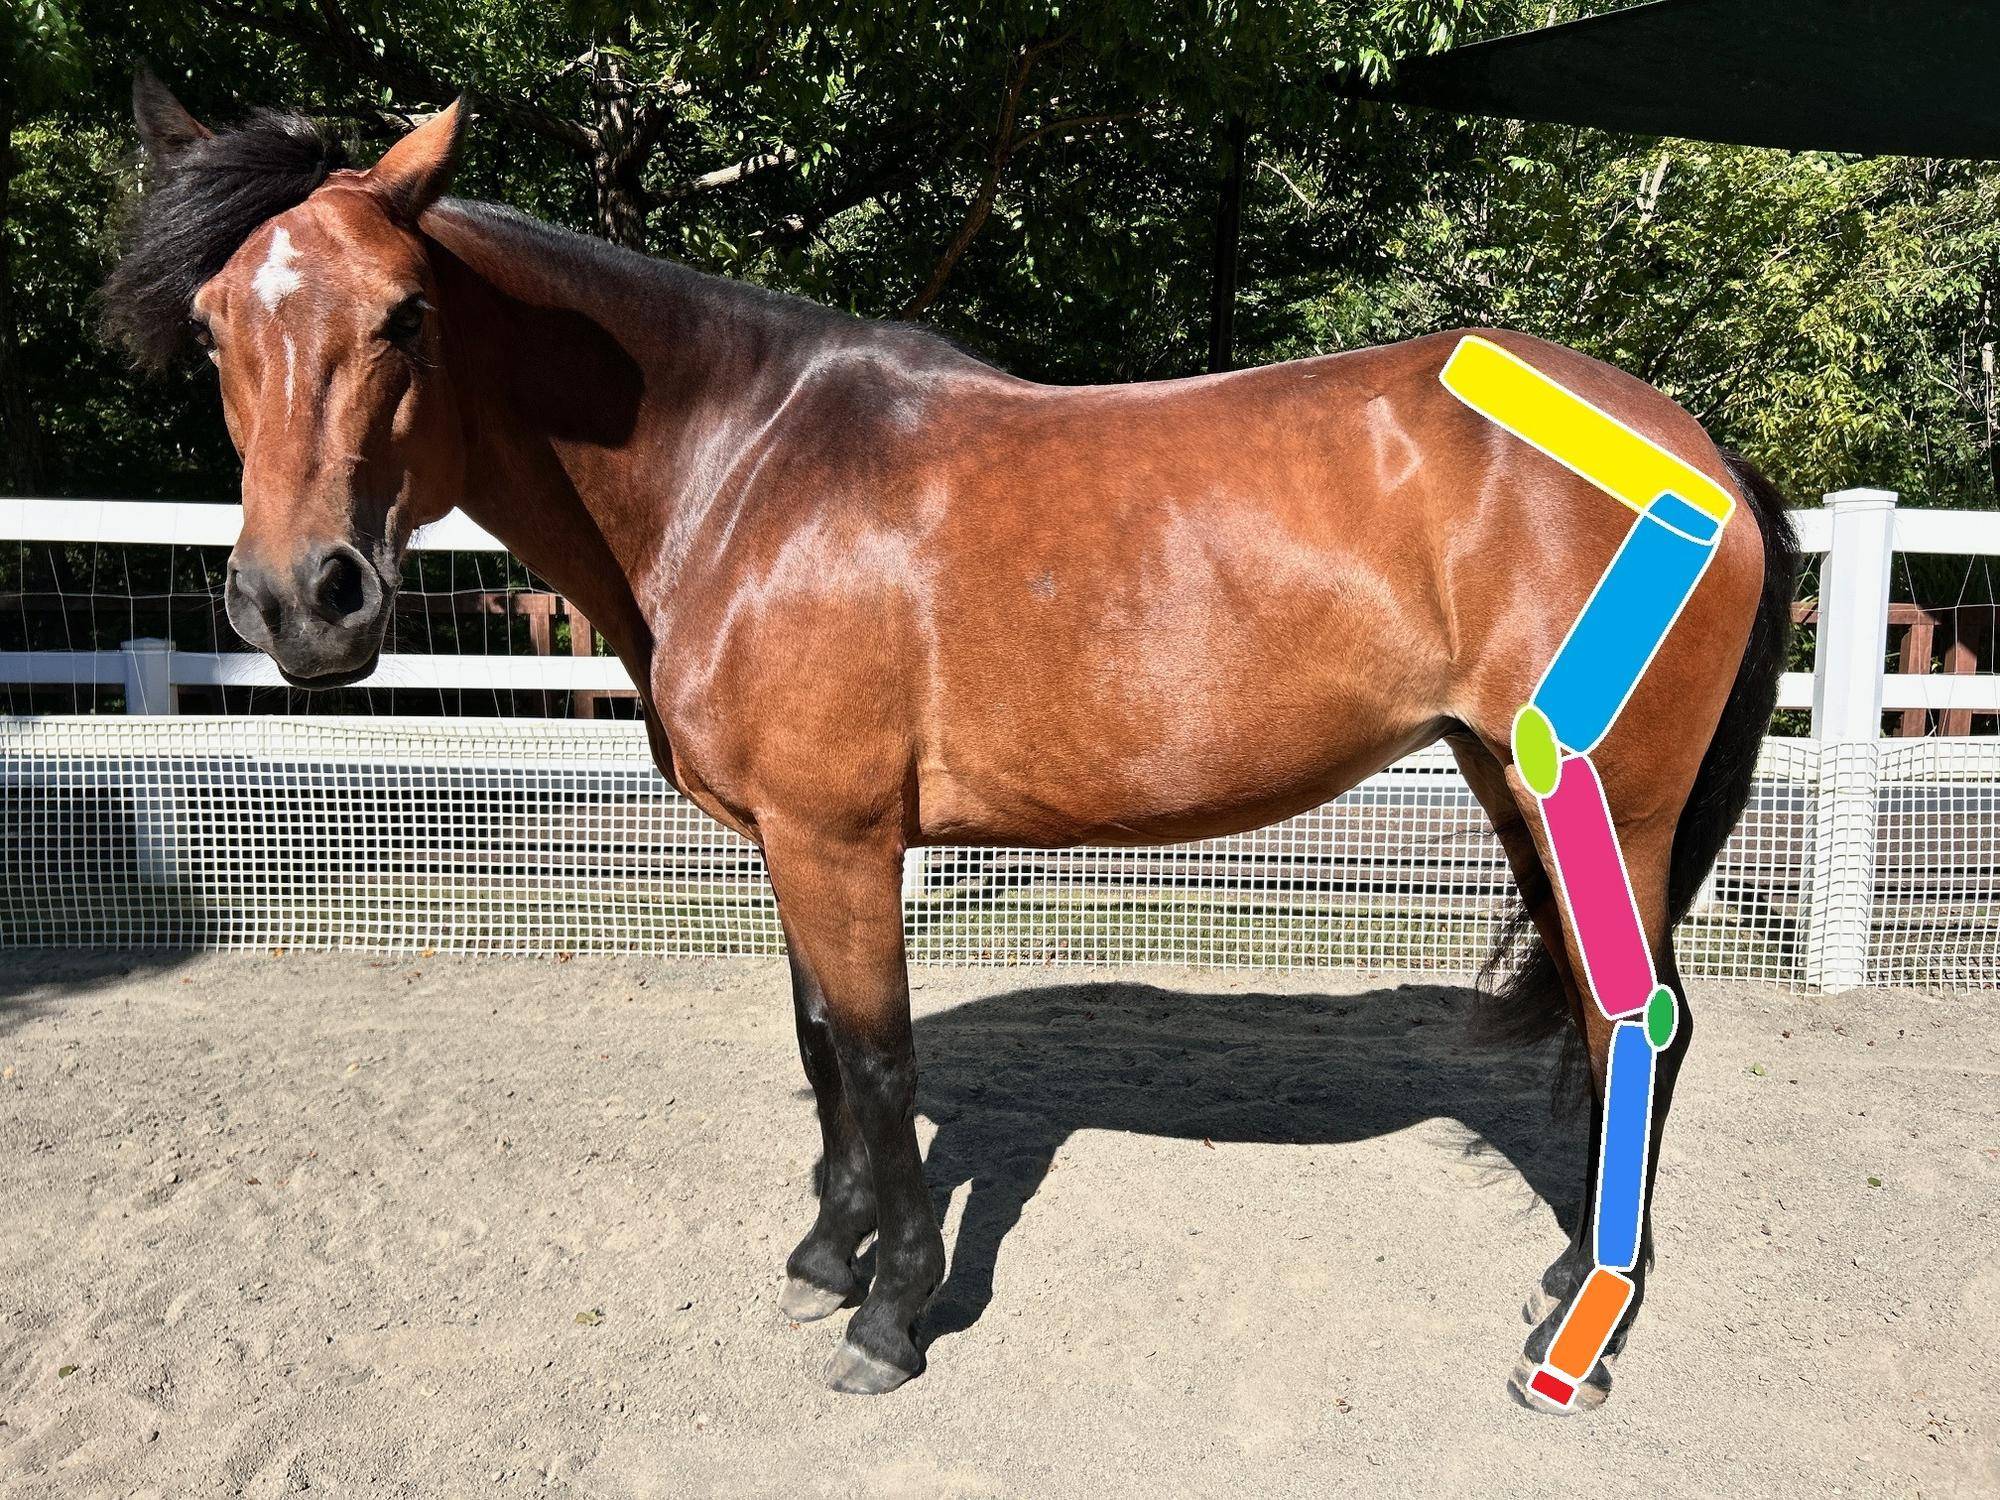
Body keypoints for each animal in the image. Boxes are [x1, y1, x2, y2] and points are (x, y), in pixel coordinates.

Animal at [102, 76, 1798, 1408]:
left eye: (406, 318)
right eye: (211, 326)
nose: (300, 600)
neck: (745, 467)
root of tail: (1701, 447)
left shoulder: (840, 838)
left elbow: (876, 1052)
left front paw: (893, 1312)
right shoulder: (794, 839)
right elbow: (820, 1048)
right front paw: (822, 1254)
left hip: (1607, 806)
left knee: (1639, 1028)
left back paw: (1589, 1321)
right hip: (1520, 789)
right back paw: (1575, 1278)